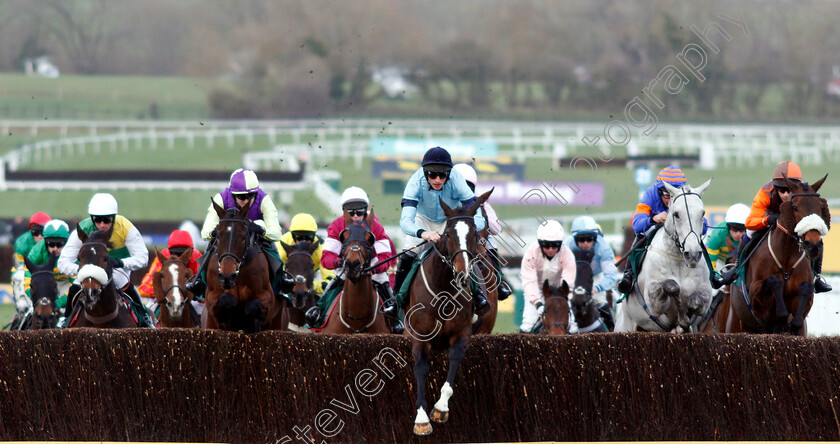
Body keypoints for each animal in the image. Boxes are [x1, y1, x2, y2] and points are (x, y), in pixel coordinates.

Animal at [201, 199, 288, 332]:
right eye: (219, 235)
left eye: (243, 236)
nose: (227, 276)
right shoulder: (211, 297)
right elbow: (226, 299)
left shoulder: (268, 297)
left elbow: (252, 306)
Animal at [406, 188, 492, 438]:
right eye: (447, 234)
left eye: (474, 235)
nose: (463, 275)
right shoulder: (419, 336)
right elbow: (421, 368)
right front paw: (422, 419)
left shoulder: (461, 332)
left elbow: (454, 360)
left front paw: (440, 408)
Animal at [612, 179, 712, 332]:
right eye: (676, 214)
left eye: (702, 213)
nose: (693, 254)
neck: (678, 260)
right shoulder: (654, 301)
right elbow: (671, 286)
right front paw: (682, 319)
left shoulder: (706, 294)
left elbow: (694, 303)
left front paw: (685, 319)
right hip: (625, 326)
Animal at [724, 175, 832, 334]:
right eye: (794, 207)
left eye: (820, 208)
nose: (813, 245)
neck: (786, 257)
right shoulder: (756, 298)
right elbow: (773, 281)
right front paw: (781, 316)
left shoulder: (806, 301)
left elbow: (806, 290)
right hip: (735, 323)